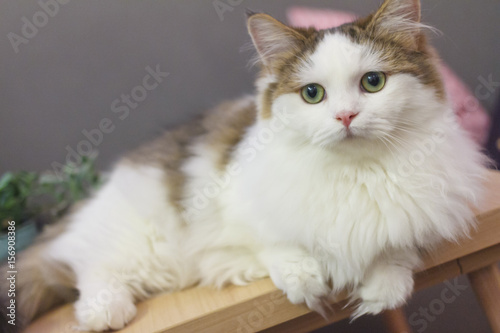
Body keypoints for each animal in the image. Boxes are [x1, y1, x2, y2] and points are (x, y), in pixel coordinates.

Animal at [0, 0, 484, 330]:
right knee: (82, 263)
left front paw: (383, 288)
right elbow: (277, 241)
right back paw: (105, 310)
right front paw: (304, 277)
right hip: (148, 247)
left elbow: (395, 245)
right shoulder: (237, 201)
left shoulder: (431, 204)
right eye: (312, 94)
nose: (346, 116)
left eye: (373, 82)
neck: (357, 173)